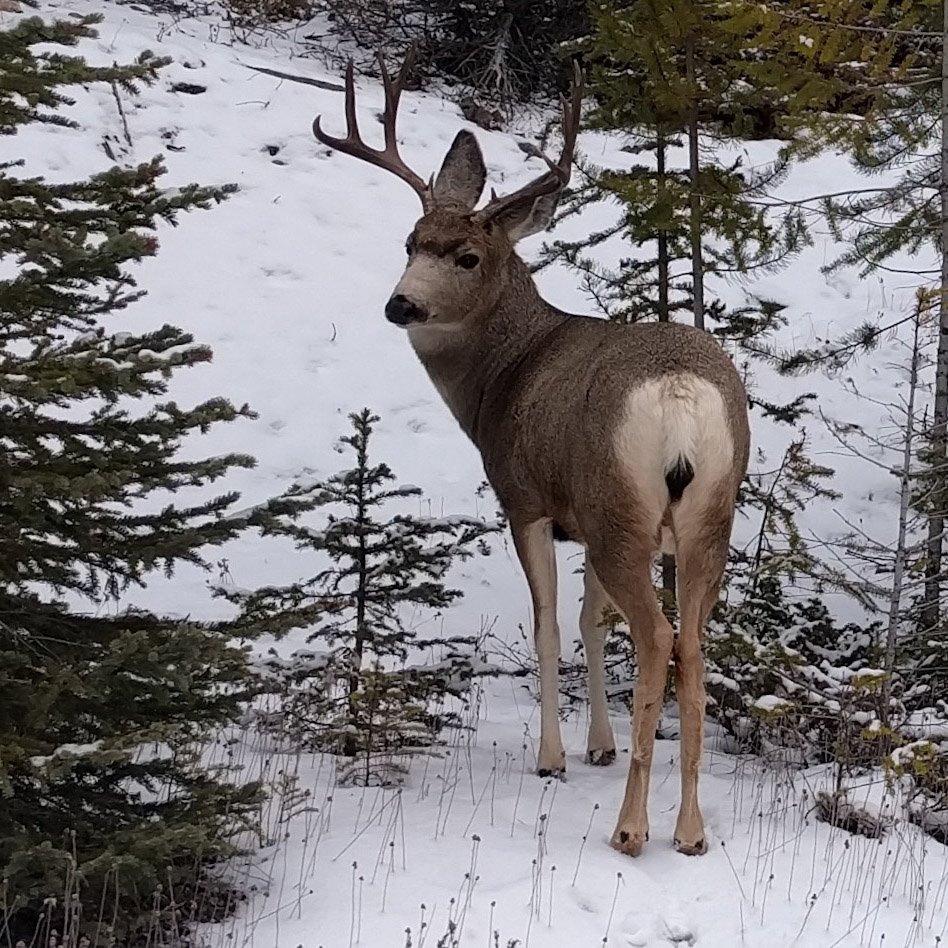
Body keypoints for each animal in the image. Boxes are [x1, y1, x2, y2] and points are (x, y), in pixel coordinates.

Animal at [313, 52, 750, 857]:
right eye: (409, 242)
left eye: (467, 255)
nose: (400, 304)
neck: (504, 373)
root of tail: (679, 394)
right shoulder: (581, 513)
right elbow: (590, 623)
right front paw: (600, 746)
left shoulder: (528, 501)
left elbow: (549, 627)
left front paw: (553, 757)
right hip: (704, 514)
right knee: (694, 644)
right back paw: (691, 830)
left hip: (621, 510)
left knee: (657, 638)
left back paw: (632, 828)